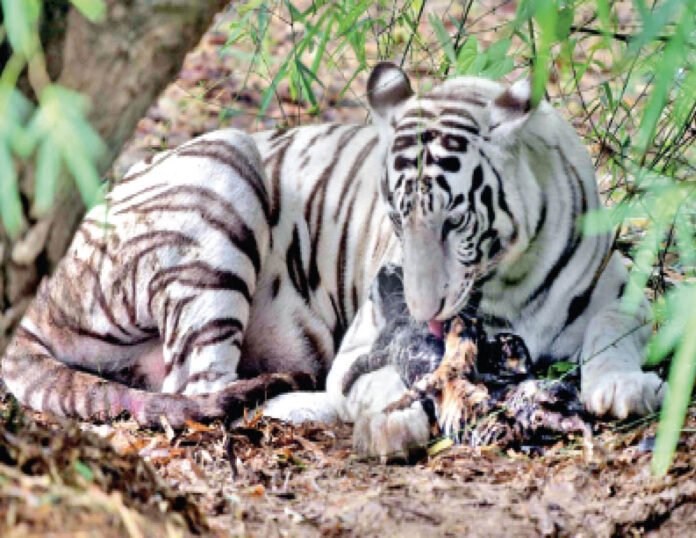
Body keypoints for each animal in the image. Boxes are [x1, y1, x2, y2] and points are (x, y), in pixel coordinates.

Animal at [1, 63, 663, 458]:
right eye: (395, 217)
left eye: (452, 221)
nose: (416, 306)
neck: (509, 277)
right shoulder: (371, 337)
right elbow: (369, 378)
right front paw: (391, 420)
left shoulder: (619, 290)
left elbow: (614, 330)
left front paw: (623, 387)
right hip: (222, 171)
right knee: (200, 391)